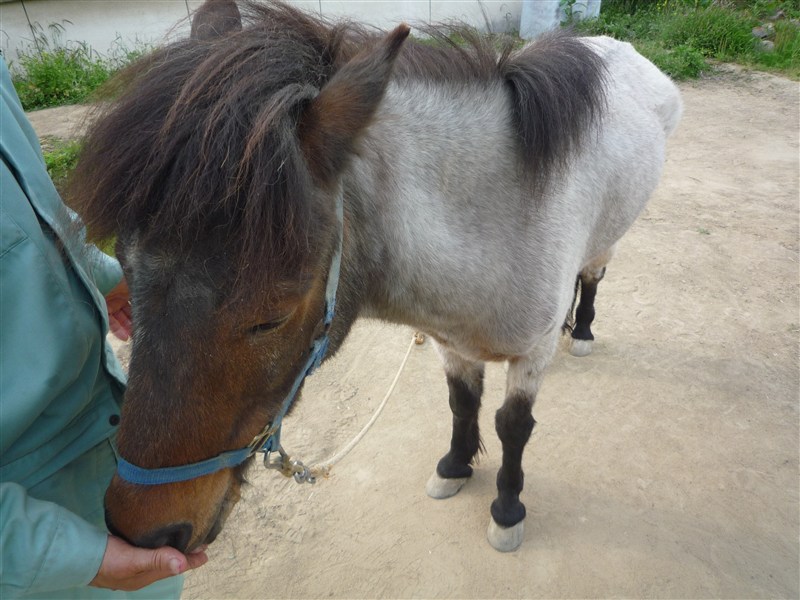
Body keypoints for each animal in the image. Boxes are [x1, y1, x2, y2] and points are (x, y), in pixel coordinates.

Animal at [70, 0, 682, 553]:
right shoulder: (450, 342)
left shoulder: (527, 358)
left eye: (272, 318)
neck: (501, 220)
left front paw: (507, 511)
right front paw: (455, 466)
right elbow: (462, 403)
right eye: (125, 271)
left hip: (607, 242)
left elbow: (513, 427)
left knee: (594, 275)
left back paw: (581, 330)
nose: (145, 531)